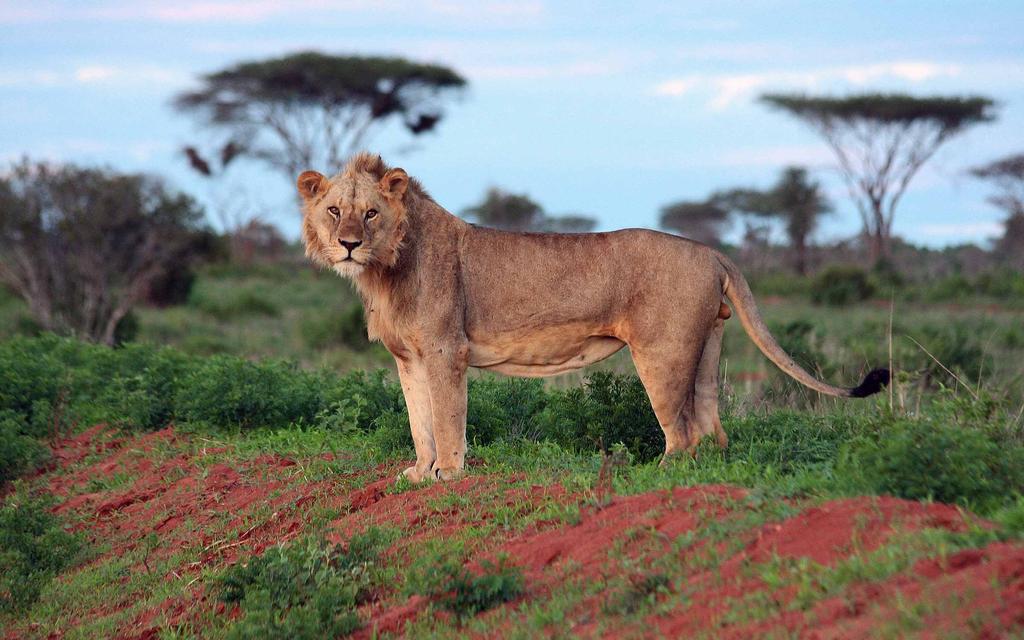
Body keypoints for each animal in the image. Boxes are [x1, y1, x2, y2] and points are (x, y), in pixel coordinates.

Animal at [299, 154, 888, 481]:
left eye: (371, 214)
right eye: (334, 211)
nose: (348, 244)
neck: (386, 268)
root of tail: (711, 251)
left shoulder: (447, 350)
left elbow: (446, 418)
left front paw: (448, 473)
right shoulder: (409, 358)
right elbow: (418, 420)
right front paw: (420, 473)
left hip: (663, 353)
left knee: (682, 432)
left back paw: (654, 476)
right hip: (707, 347)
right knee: (711, 427)